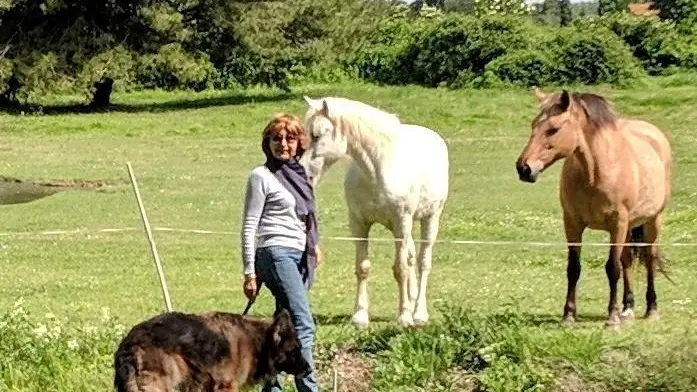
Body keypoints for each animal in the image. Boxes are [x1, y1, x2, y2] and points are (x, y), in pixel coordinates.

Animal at [300, 95, 452, 328]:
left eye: (317, 135)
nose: (303, 172)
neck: (378, 169)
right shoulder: (359, 223)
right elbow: (363, 268)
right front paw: (360, 316)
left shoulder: (401, 222)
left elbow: (401, 269)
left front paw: (404, 317)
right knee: (411, 258)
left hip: (429, 219)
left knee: (423, 263)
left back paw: (418, 313)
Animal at [512, 89, 672, 330]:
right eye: (533, 125)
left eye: (553, 129)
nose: (523, 168)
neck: (595, 172)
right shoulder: (572, 223)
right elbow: (574, 268)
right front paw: (568, 316)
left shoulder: (617, 223)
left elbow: (612, 269)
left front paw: (612, 320)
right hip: (628, 227)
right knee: (627, 261)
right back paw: (628, 309)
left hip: (652, 221)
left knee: (649, 259)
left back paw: (651, 309)